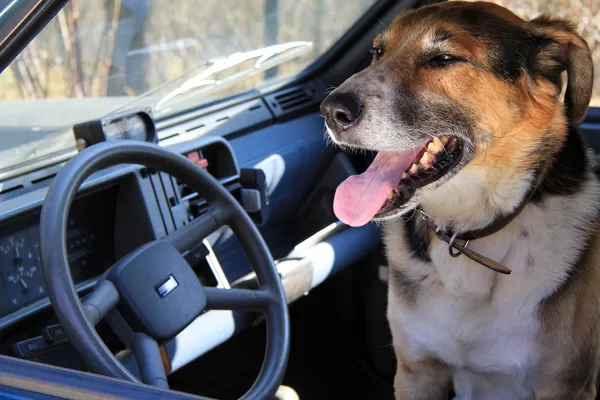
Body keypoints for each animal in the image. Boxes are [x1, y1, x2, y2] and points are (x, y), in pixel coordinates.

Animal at [322, 1, 596, 398]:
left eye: (445, 58)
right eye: (377, 53)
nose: (331, 110)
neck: (468, 233)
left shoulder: (565, 385)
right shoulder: (416, 372)